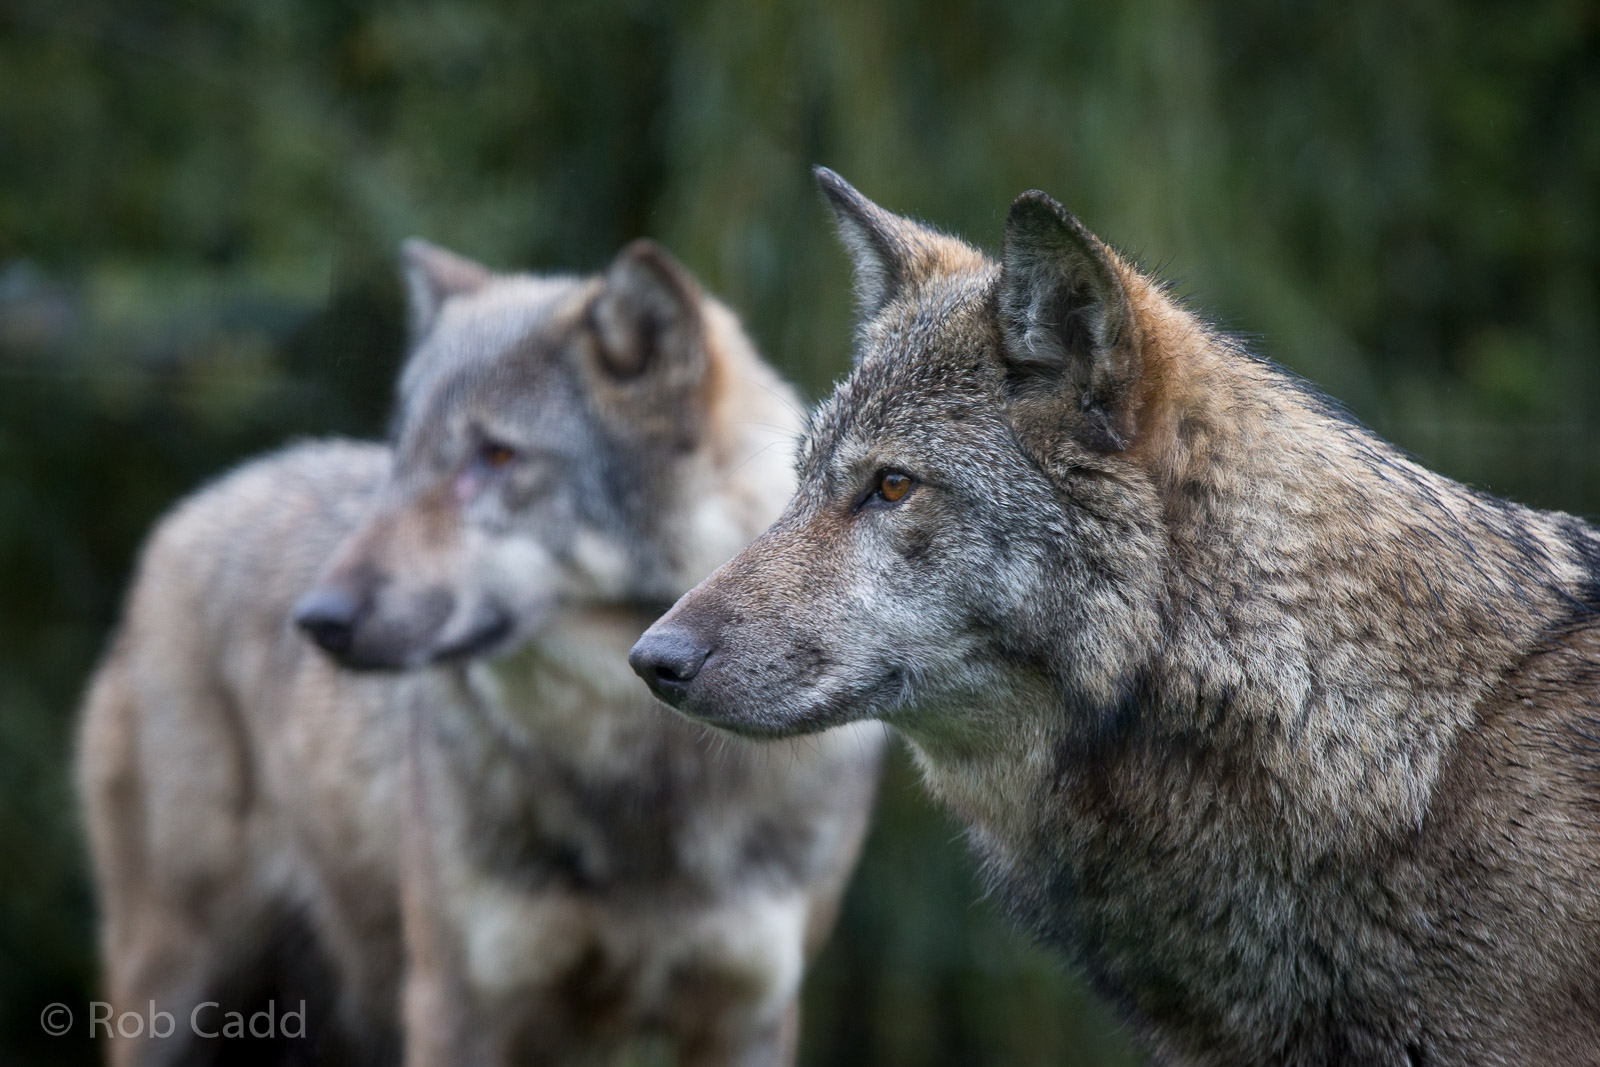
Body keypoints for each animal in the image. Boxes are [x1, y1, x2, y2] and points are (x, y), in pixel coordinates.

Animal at [77, 237, 884, 1067]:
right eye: (402, 458)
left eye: (496, 456)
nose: (317, 618)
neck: (639, 771)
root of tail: (194, 507)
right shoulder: (457, 1007)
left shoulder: (746, 1016)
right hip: (179, 993)